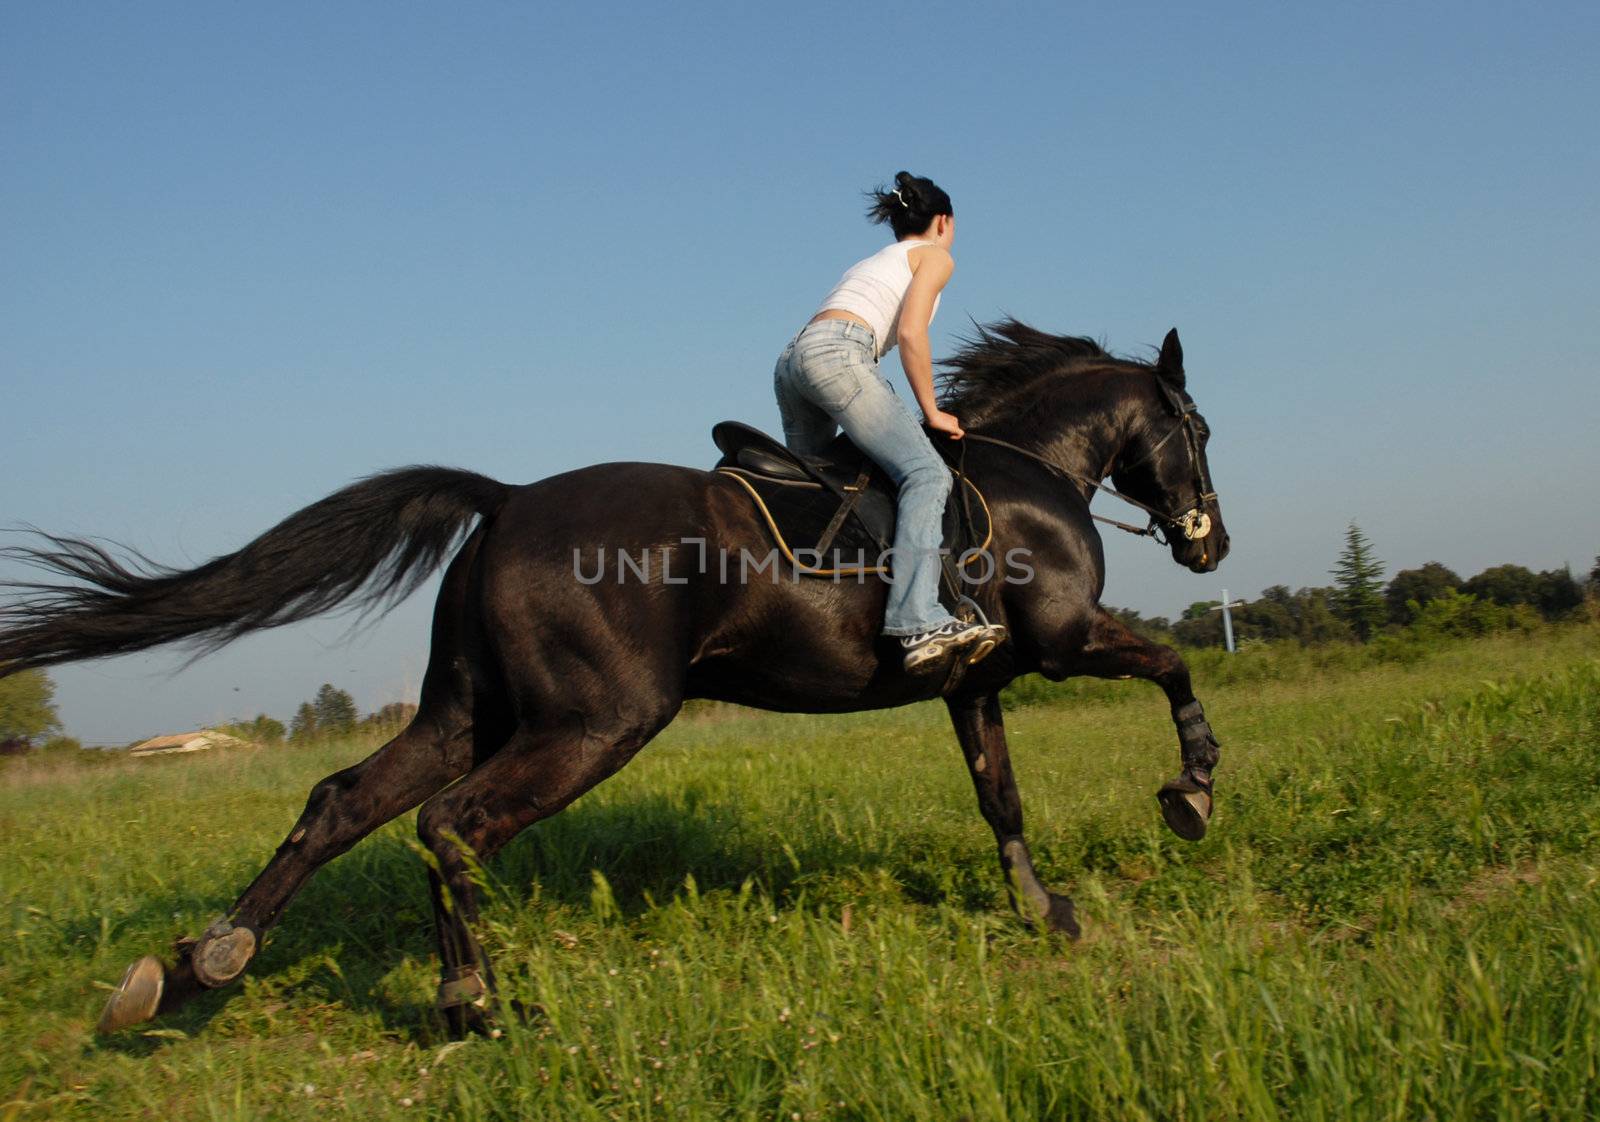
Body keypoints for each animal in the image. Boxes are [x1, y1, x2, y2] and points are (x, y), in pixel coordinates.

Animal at [0, 316, 1222, 1030]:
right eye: (1197, 429)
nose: (1207, 545)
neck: (1027, 473)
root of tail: (504, 503)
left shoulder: (976, 681)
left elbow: (999, 796)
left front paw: (1044, 912)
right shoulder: (1065, 640)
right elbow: (1170, 668)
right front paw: (1192, 791)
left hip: (468, 711)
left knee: (345, 803)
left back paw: (204, 962)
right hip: (596, 722)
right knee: (453, 827)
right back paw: (476, 1001)